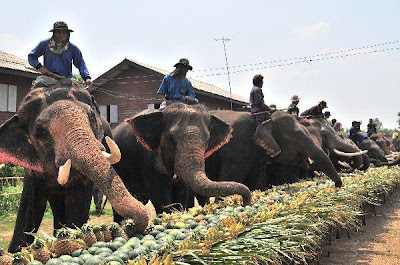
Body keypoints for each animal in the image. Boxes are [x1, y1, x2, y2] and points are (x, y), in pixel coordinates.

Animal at [0, 81, 148, 252]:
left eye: (91, 117)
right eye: (41, 132)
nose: (129, 223)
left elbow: (77, 200)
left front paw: (72, 237)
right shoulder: (32, 168)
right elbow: (30, 203)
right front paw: (15, 250)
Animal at [111, 101, 252, 219]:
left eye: (207, 139)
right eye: (171, 138)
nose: (245, 202)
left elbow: (182, 192)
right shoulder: (147, 157)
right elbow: (159, 194)